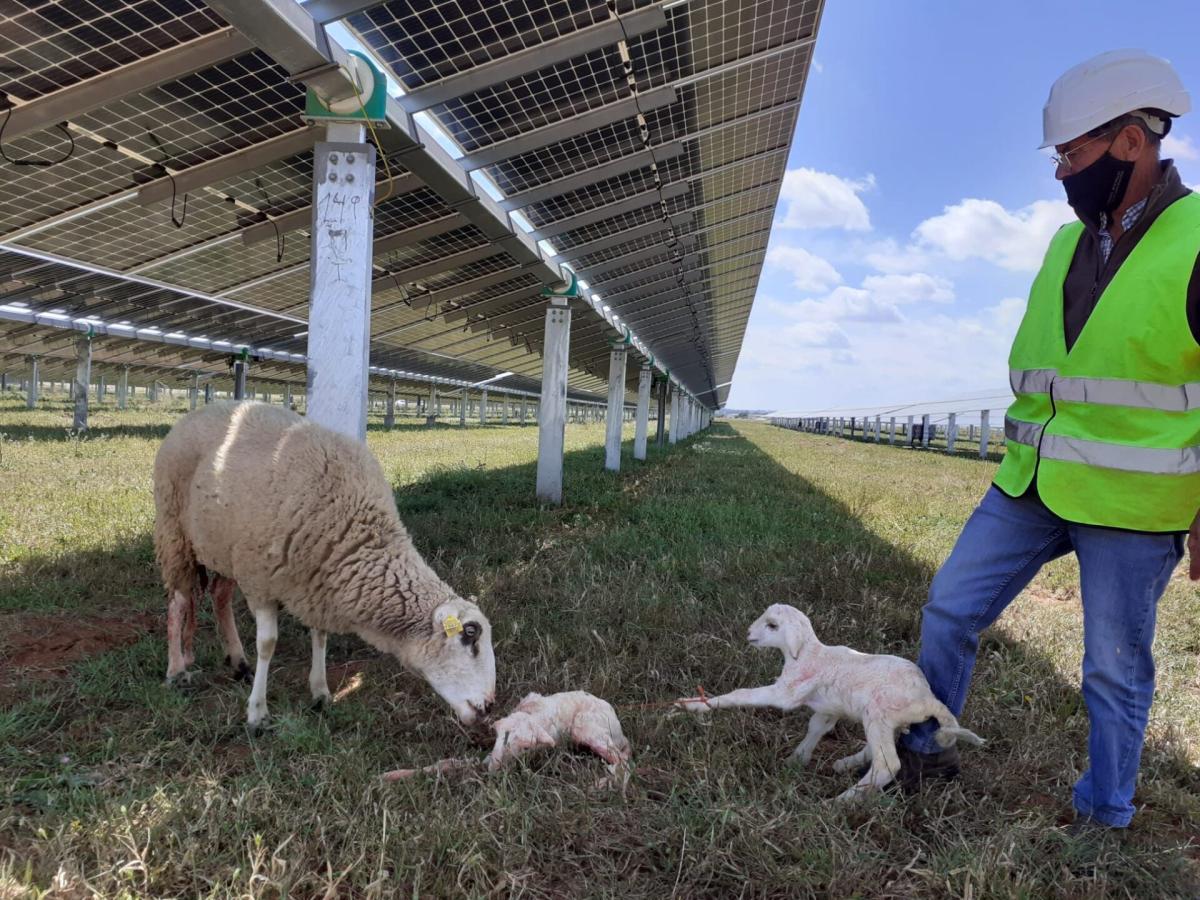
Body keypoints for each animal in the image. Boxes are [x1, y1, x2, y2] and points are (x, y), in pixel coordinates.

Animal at [152, 405, 494, 729]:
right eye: (470, 636)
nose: (489, 707)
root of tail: (199, 411)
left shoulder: (315, 582)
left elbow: (320, 636)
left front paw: (320, 692)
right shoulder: (262, 580)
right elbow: (267, 644)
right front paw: (257, 713)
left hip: (222, 546)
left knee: (220, 596)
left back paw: (238, 662)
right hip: (174, 530)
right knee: (178, 602)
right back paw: (176, 670)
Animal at [384, 691, 633, 787]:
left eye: (525, 747)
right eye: (498, 737)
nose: (491, 772)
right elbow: (447, 762)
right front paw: (392, 775)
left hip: (587, 728)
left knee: (624, 762)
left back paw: (601, 783)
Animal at [681, 607, 979, 801]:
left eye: (773, 626)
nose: (748, 633)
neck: (808, 653)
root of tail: (929, 699)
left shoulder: (787, 692)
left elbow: (742, 694)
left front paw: (695, 705)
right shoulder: (828, 708)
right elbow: (816, 727)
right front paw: (796, 760)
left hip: (879, 712)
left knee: (887, 764)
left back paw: (842, 802)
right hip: (885, 720)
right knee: (878, 750)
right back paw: (845, 765)